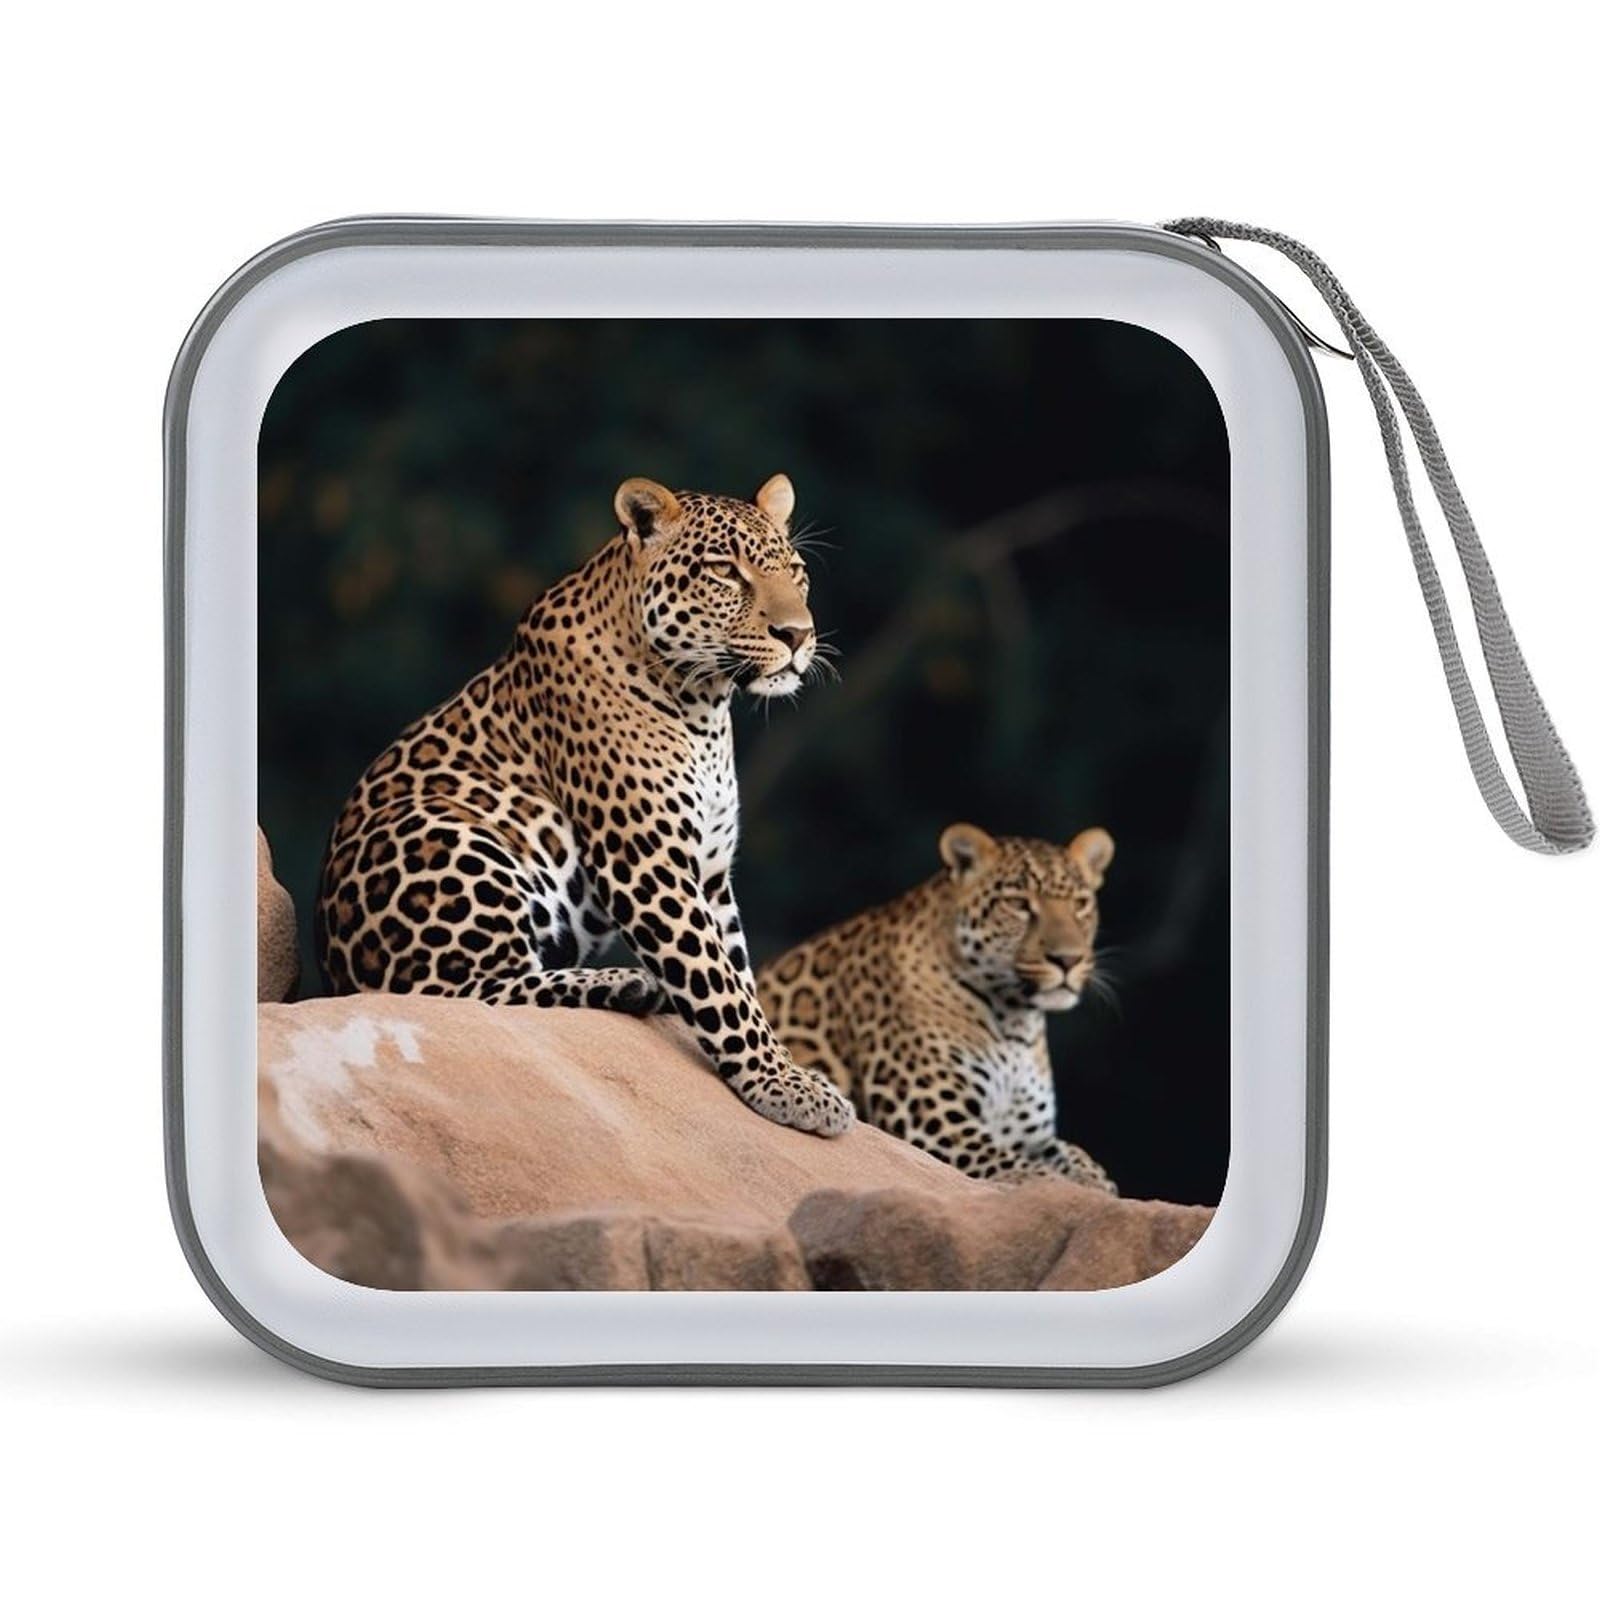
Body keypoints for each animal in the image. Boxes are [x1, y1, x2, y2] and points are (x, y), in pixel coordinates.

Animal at [315, 473, 854, 1138]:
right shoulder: (646, 863)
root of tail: (333, 975)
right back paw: (623, 983)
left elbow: (735, 973)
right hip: (452, 835)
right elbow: (716, 983)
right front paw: (784, 1085)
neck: (703, 703)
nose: (797, 635)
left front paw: (779, 1069)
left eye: (796, 571)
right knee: (452, 995)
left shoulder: (708, 871)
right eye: (726, 572)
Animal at [756, 823, 1117, 1185]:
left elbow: (1077, 1160)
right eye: (1017, 903)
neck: (1015, 1021)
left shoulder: (1029, 1136)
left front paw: (1094, 1178)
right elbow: (1029, 1172)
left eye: (1080, 904)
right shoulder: (933, 1124)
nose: (1068, 959)